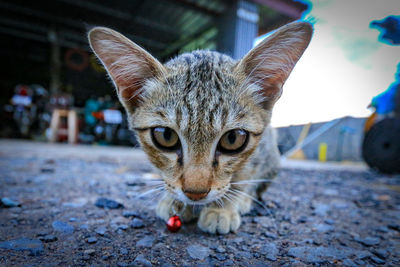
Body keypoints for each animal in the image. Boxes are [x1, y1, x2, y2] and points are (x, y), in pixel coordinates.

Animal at [87, 21, 312, 234]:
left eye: (233, 139)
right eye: (166, 136)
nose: (195, 193)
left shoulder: (260, 150)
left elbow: (244, 176)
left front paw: (223, 208)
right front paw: (173, 201)